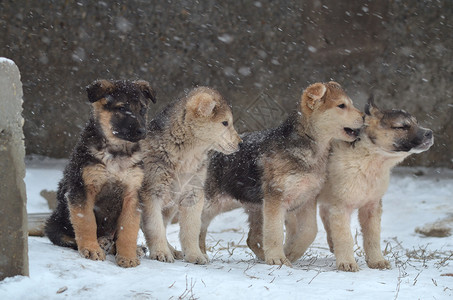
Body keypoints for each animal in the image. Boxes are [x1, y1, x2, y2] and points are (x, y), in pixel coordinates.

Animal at [44, 79, 156, 268]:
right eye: (122, 108)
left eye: (142, 109)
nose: (142, 131)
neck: (117, 152)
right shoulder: (82, 189)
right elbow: (86, 221)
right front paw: (91, 249)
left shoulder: (132, 194)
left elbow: (128, 229)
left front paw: (127, 256)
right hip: (54, 222)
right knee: (67, 237)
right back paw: (100, 243)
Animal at [140, 86, 242, 264]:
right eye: (225, 123)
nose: (240, 144)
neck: (187, 156)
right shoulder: (152, 192)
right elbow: (154, 227)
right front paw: (160, 253)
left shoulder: (193, 194)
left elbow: (191, 229)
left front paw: (195, 255)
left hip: (170, 206)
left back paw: (173, 250)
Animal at [201, 81, 364, 264]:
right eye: (341, 105)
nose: (365, 116)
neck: (311, 147)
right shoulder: (275, 198)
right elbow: (275, 232)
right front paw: (278, 259)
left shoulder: (308, 198)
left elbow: (310, 231)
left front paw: (291, 253)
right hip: (213, 203)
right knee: (194, 224)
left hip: (256, 209)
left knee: (251, 239)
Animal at [316, 98, 432, 272]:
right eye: (401, 127)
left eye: (417, 123)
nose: (429, 133)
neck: (369, 159)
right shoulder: (341, 206)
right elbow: (344, 237)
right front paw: (347, 263)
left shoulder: (372, 206)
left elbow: (373, 237)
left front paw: (377, 261)